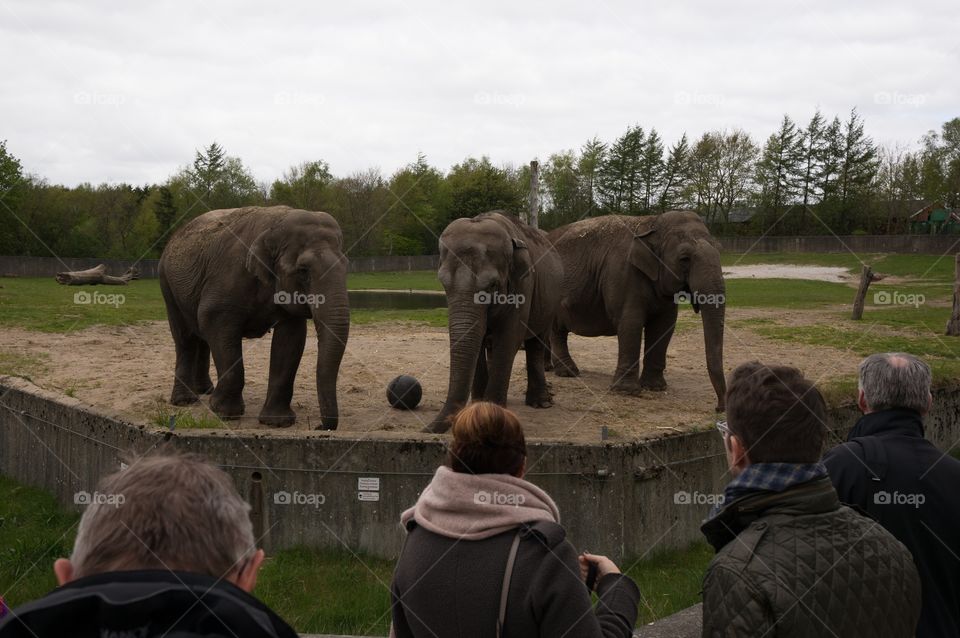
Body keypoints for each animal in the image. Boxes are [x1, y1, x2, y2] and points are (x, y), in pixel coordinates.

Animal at [159, 205, 349, 429]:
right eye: (303, 270)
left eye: (346, 266)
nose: (320, 426)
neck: (274, 226)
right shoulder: (226, 281)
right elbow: (214, 323)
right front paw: (224, 413)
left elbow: (290, 341)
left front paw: (277, 422)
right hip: (167, 285)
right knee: (185, 338)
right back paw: (185, 401)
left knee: (201, 336)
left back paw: (205, 390)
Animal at [427, 211, 563, 433]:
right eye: (443, 284)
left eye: (492, 285)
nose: (426, 430)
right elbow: (479, 343)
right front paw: (478, 408)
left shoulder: (524, 285)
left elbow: (508, 340)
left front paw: (492, 416)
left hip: (550, 302)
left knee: (536, 342)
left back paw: (541, 403)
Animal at [547, 211, 726, 411]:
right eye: (684, 259)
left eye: (720, 251)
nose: (718, 408)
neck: (652, 222)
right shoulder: (623, 274)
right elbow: (630, 323)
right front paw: (627, 391)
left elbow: (664, 327)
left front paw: (655, 387)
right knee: (557, 331)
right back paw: (568, 373)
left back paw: (550, 369)